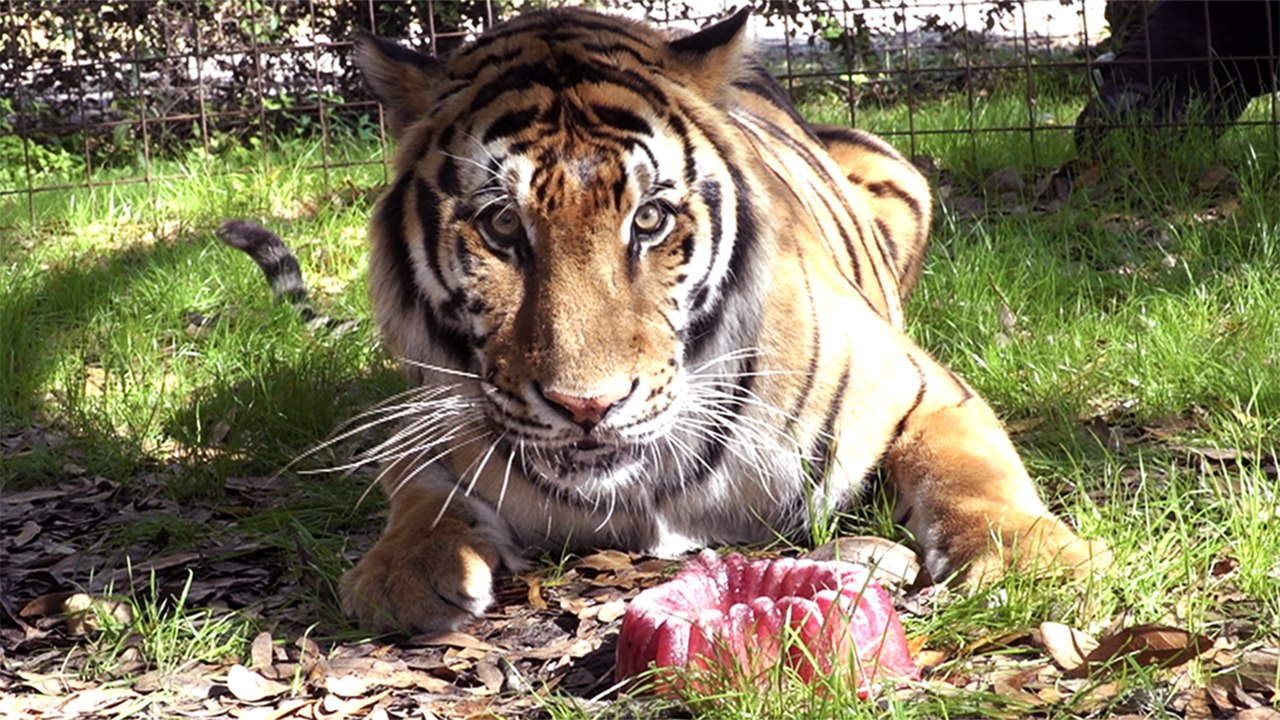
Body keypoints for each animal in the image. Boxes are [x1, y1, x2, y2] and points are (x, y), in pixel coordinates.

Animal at [230, 6, 1107, 633]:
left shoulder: (917, 385)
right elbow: (416, 490)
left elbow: (974, 472)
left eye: (648, 220)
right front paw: (401, 574)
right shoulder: (431, 413)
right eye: (502, 226)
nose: (587, 406)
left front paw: (1035, 565)